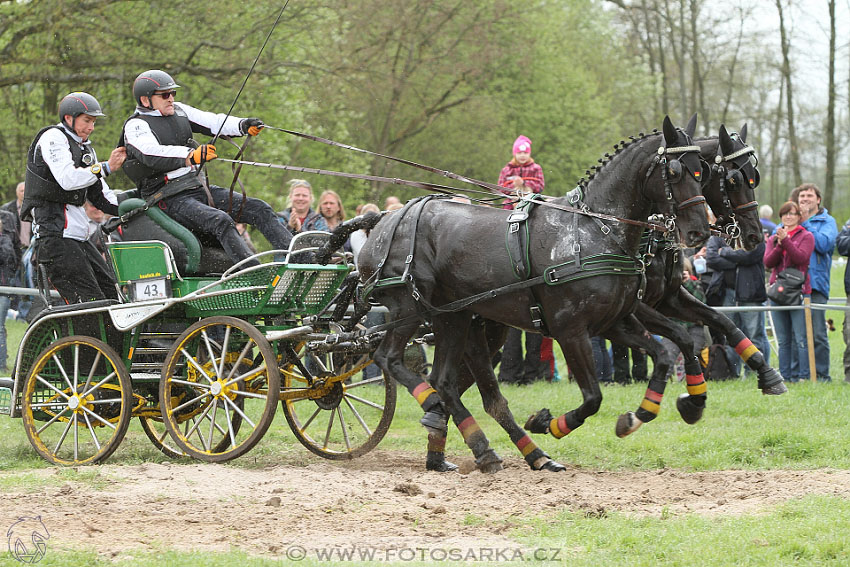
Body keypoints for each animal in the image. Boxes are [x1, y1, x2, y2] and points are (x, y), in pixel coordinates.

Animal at [352, 114, 708, 470]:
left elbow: (663, 356)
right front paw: (549, 423)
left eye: (701, 168)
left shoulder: (614, 322)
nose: (699, 231)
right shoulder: (570, 330)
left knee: (447, 381)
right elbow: (593, 398)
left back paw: (485, 447)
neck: (593, 230)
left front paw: (647, 414)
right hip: (408, 307)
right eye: (675, 171)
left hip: (454, 317)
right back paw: (437, 409)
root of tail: (384, 222)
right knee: (389, 358)